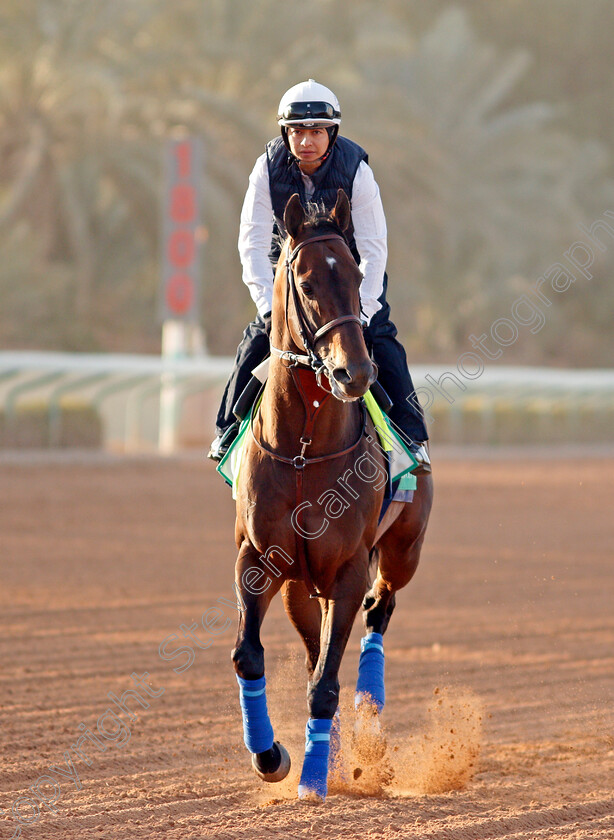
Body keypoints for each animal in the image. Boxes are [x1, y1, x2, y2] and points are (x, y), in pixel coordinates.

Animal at [230, 189, 434, 800]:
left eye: (357, 273)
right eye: (305, 281)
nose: (354, 373)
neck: (302, 450)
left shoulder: (347, 568)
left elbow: (326, 681)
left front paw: (316, 780)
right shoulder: (258, 559)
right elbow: (250, 656)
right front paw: (271, 755)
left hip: (403, 550)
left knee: (377, 613)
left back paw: (368, 721)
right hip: (303, 586)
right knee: (314, 652)